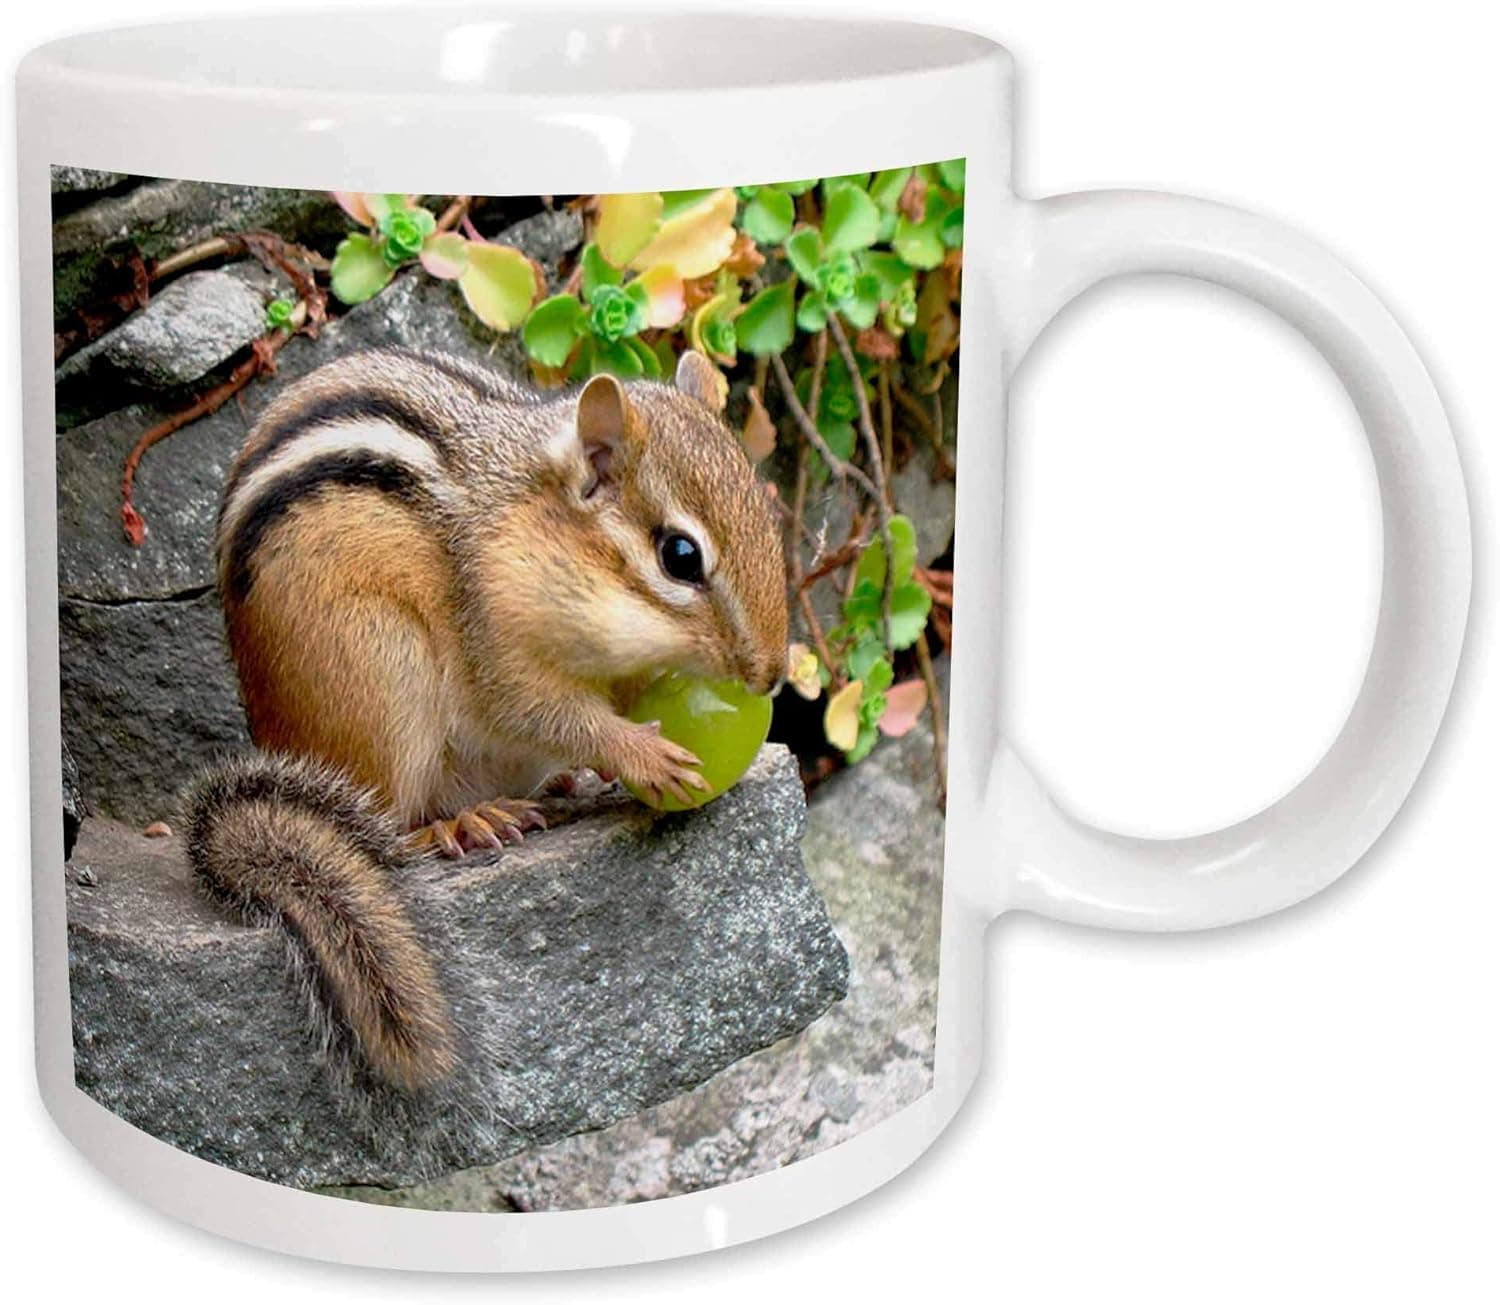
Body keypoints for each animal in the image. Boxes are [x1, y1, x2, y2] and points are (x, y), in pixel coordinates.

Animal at [185, 347, 789, 1093]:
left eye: (768, 511)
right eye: (681, 556)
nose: (773, 673)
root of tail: (269, 735)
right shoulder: (494, 642)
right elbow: (543, 712)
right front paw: (641, 755)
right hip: (382, 673)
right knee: (389, 819)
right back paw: (458, 823)